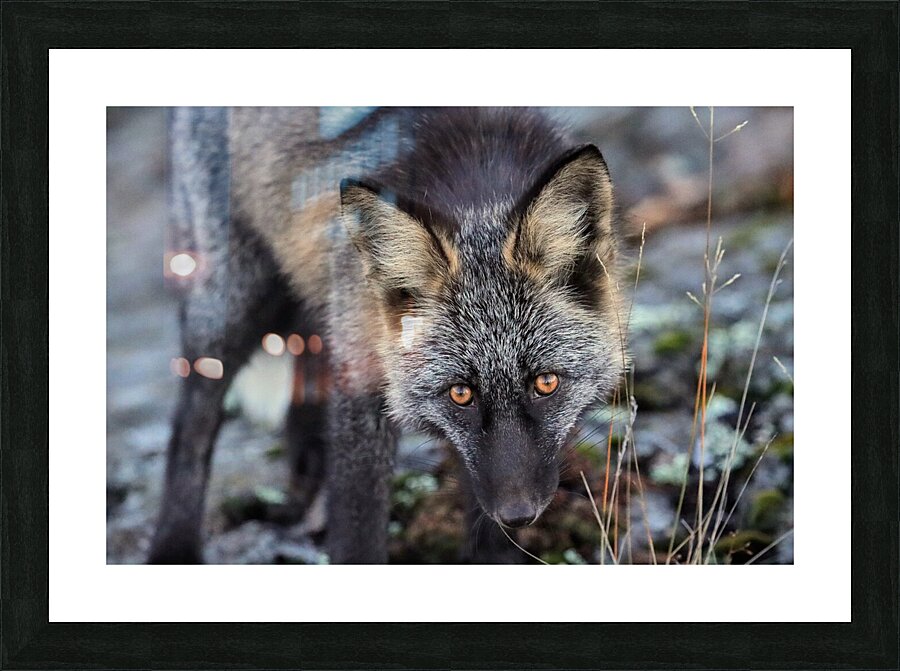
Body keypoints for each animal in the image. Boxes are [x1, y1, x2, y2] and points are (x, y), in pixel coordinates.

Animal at [147, 107, 625, 564]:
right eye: (460, 394)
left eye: (546, 383)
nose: (518, 513)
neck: (479, 185)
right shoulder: (361, 382)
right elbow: (358, 534)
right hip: (233, 308)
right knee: (191, 425)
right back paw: (174, 548)